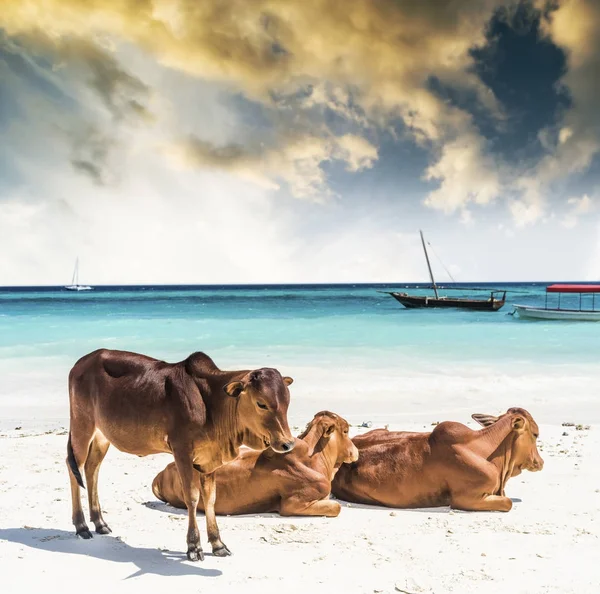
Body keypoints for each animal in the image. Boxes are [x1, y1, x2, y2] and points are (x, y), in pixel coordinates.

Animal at [66, 344, 296, 556]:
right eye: (261, 403)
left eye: (287, 402)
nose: (287, 443)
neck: (211, 403)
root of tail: (80, 363)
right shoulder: (182, 452)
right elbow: (192, 497)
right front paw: (194, 546)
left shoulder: (208, 461)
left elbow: (210, 499)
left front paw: (217, 544)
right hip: (82, 425)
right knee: (74, 466)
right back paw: (82, 526)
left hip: (102, 435)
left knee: (92, 469)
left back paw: (100, 523)